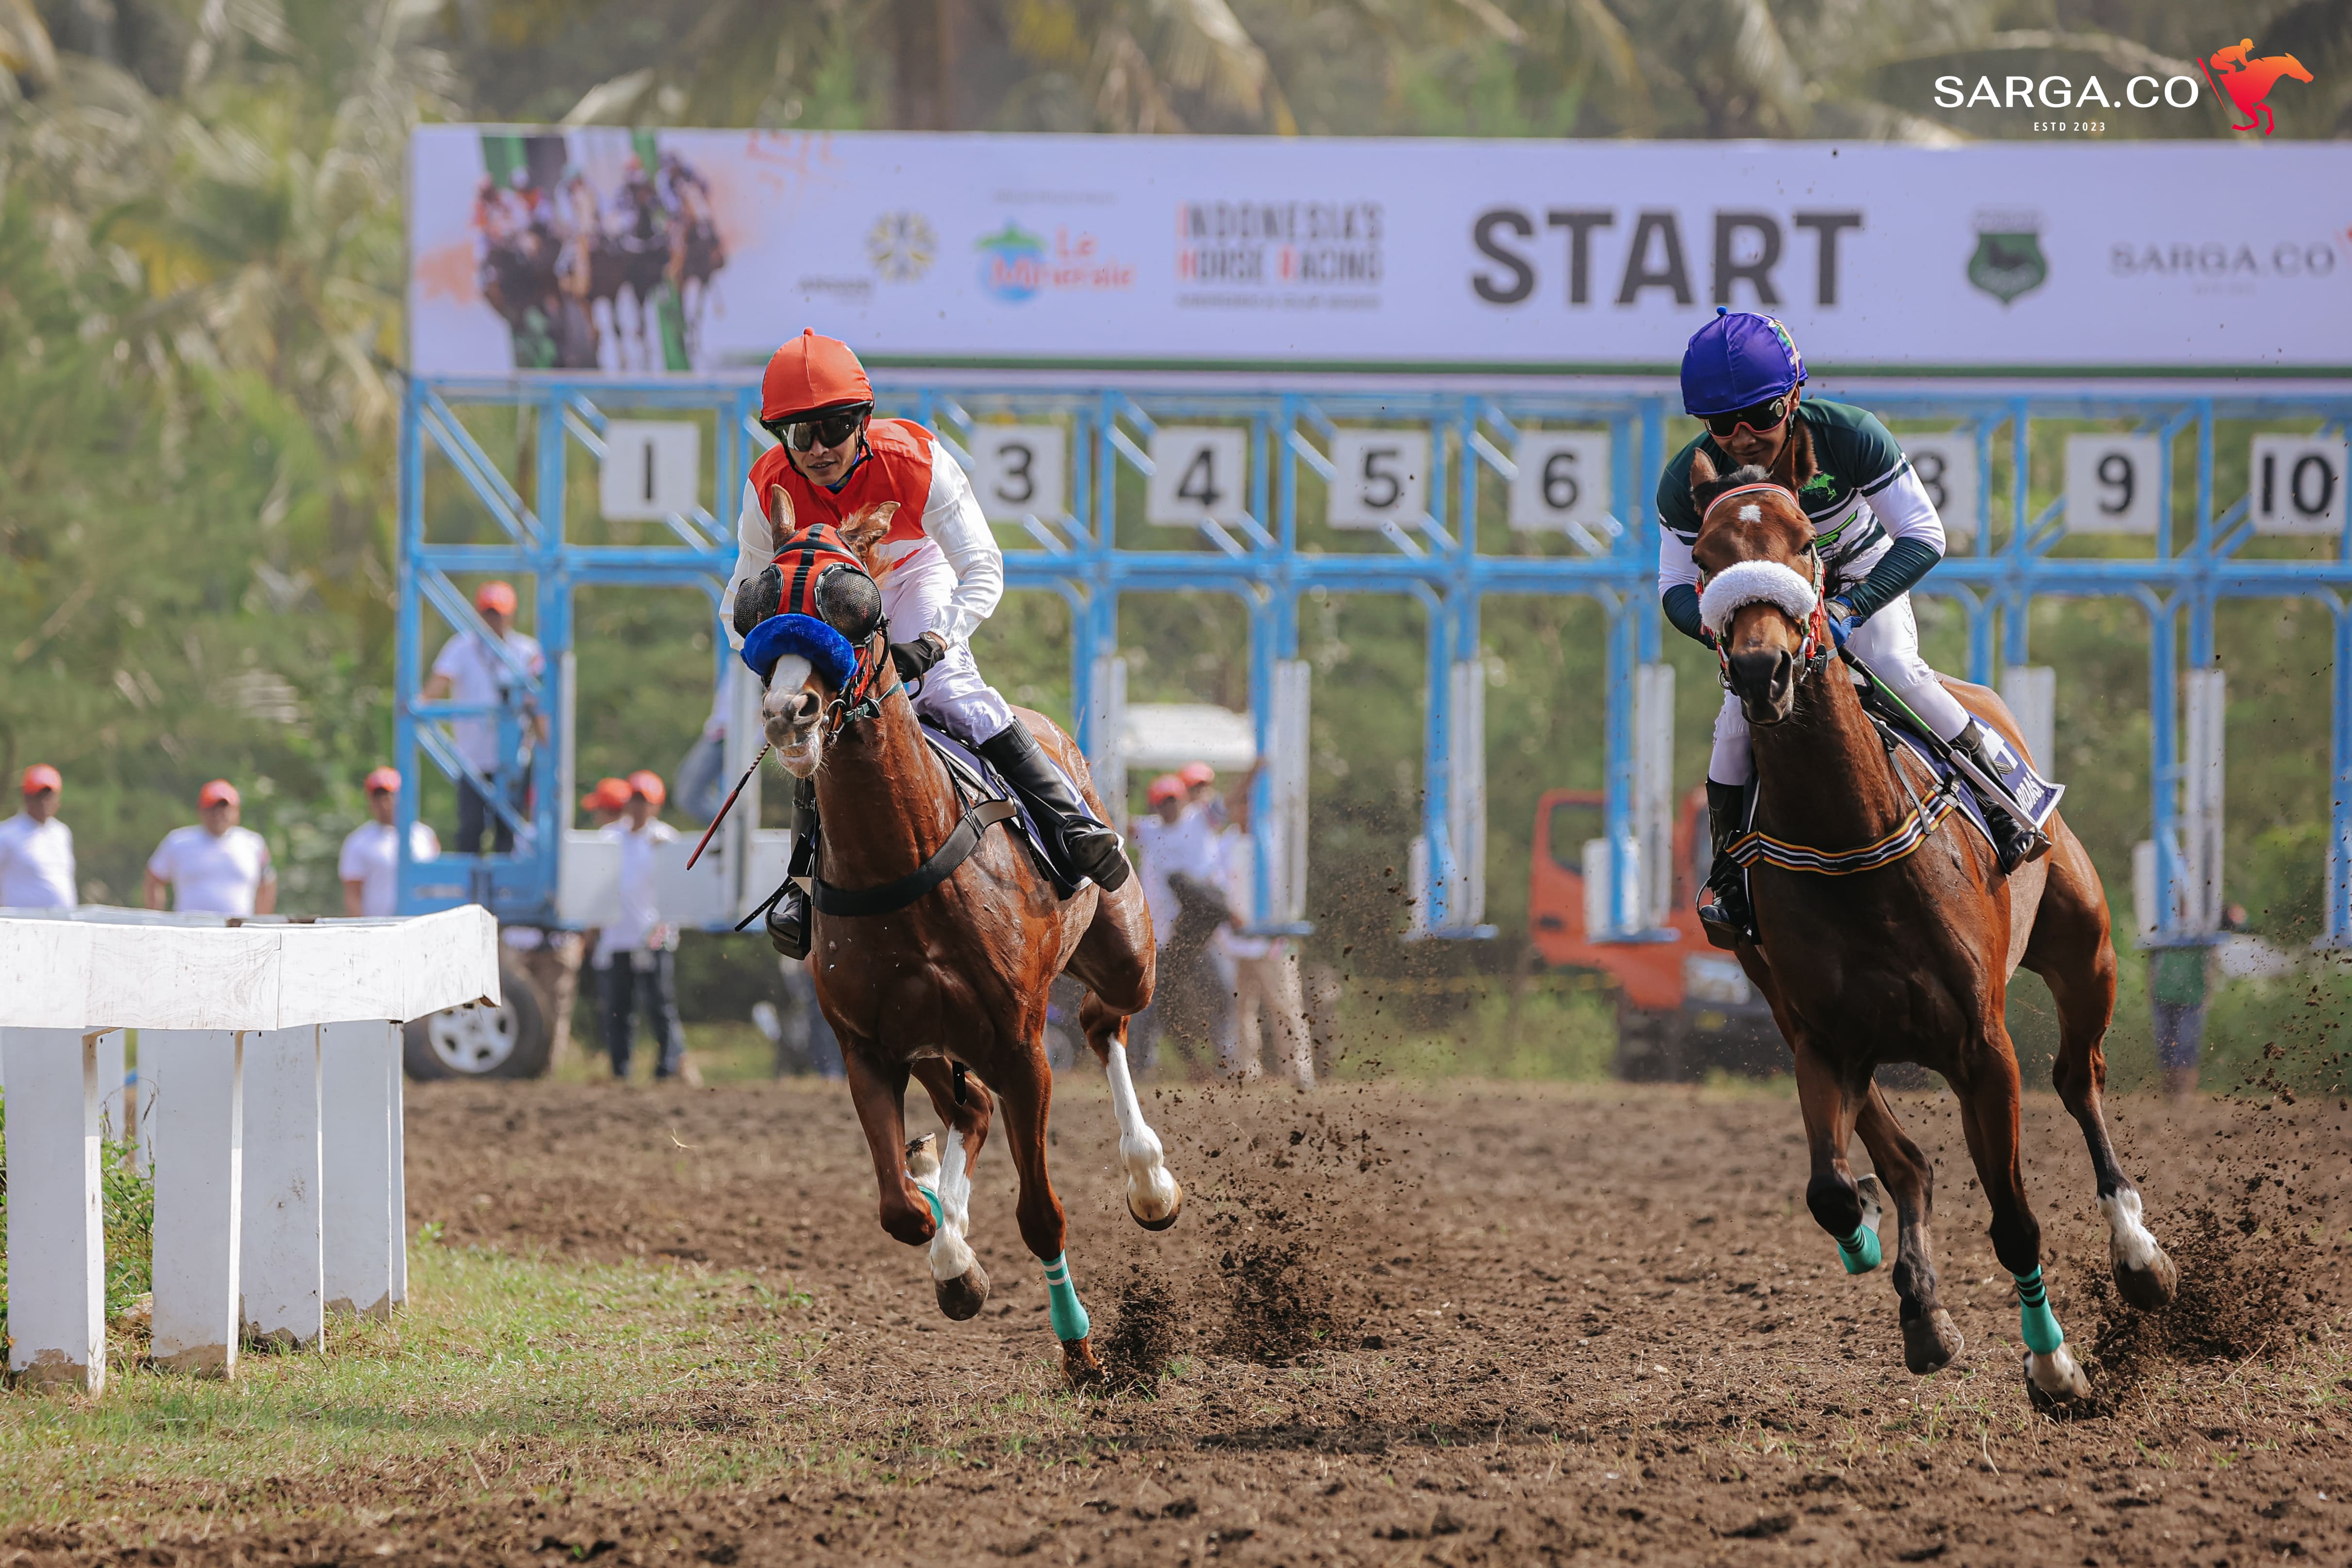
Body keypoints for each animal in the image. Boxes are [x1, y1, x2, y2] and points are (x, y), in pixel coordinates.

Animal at [742, 494, 1182, 1385]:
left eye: (854, 603)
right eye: (757, 601)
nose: (788, 714)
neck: (902, 857)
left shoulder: (1019, 1046)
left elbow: (1041, 1212)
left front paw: (1080, 1348)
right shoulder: (867, 1046)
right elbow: (898, 1210)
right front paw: (949, 1247)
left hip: (1125, 953)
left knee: (1103, 1023)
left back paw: (1150, 1178)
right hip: (933, 1041)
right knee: (970, 1108)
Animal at [1688, 448, 2178, 1409]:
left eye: (1804, 544)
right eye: (1704, 557)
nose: (1763, 672)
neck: (1851, 840)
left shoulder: (1982, 1046)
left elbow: (2015, 1219)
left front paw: (2052, 1364)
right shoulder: (1823, 1041)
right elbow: (1831, 1188)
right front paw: (1894, 1269)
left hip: (2086, 951)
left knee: (2079, 1078)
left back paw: (2137, 1251)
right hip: (1791, 1010)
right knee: (1903, 1160)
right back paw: (1908, 1285)